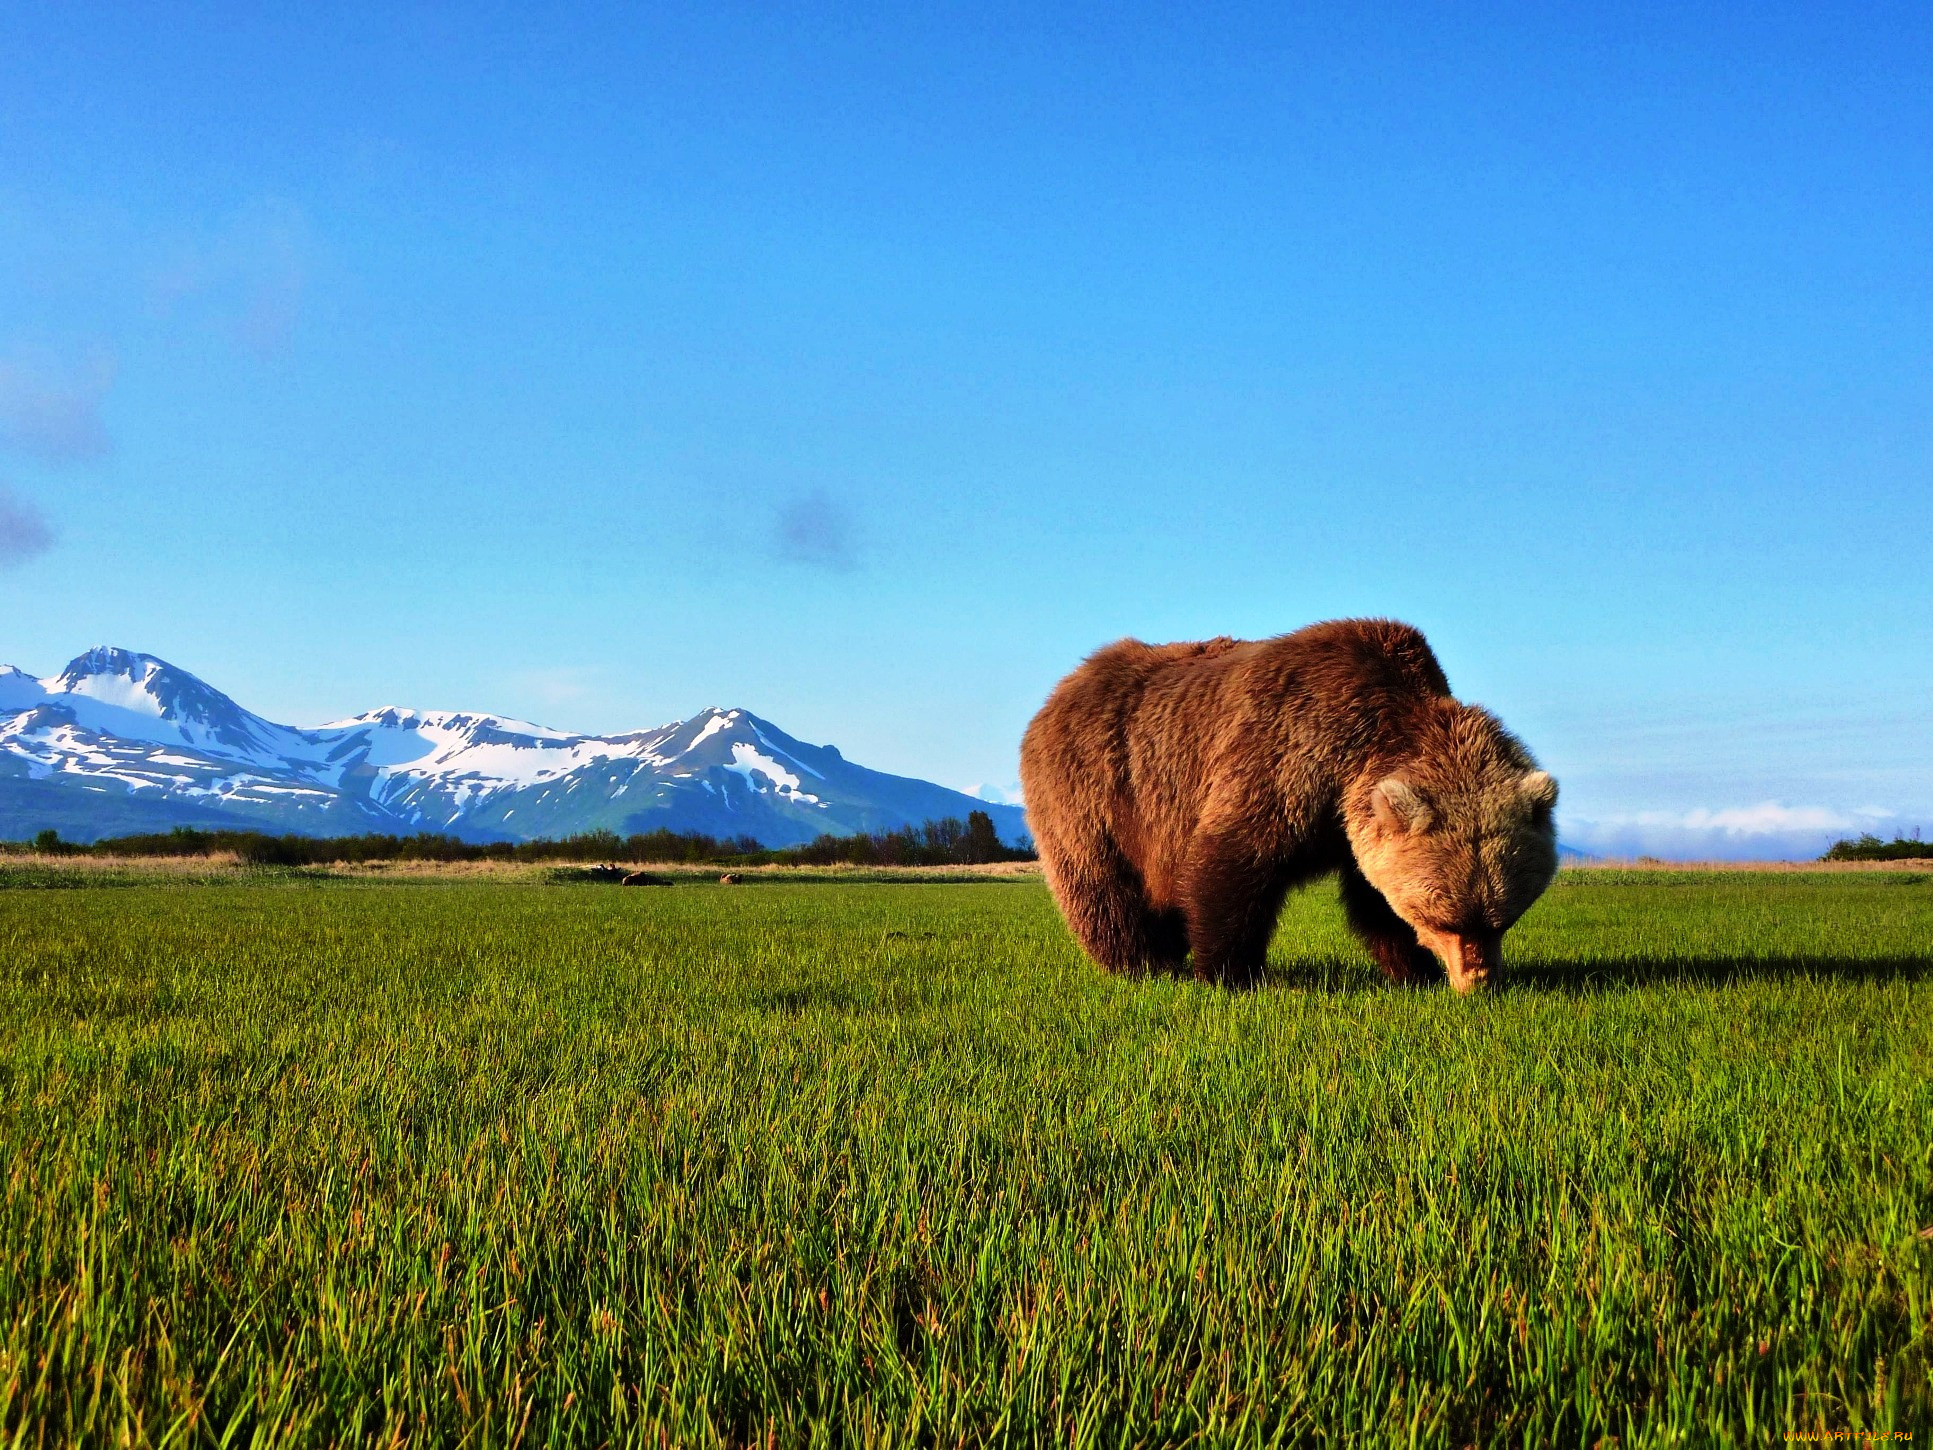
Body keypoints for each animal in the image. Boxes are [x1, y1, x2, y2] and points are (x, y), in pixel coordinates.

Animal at [1020, 618, 1561, 997]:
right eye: (1445, 917)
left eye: (1504, 917)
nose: (1479, 982)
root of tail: (1063, 686)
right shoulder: (1286, 753)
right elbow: (1232, 863)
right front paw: (1228, 974)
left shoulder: (1352, 822)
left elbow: (1373, 900)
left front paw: (1414, 970)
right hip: (1095, 790)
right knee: (1103, 887)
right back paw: (1144, 965)